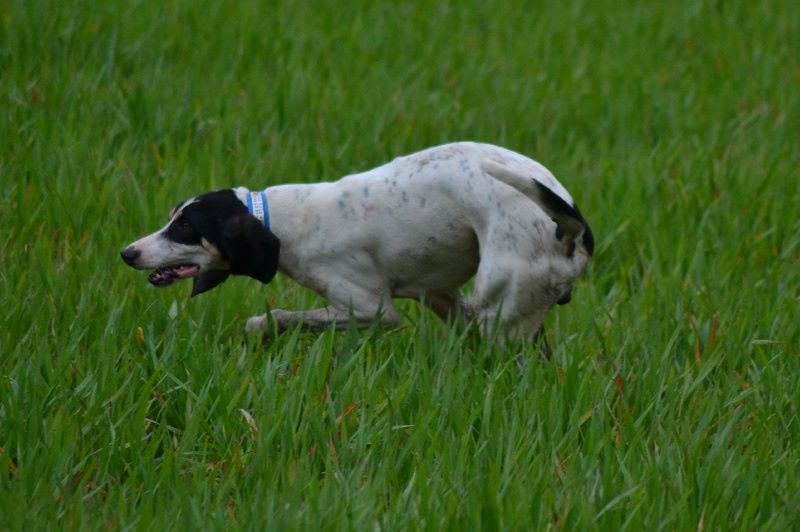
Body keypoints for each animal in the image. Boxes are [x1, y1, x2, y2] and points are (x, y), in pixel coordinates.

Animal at [120, 141, 592, 348]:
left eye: (184, 227)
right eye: (172, 218)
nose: (128, 253)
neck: (284, 220)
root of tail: (568, 225)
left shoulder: (371, 310)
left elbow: (276, 318)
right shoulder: (440, 296)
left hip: (503, 318)